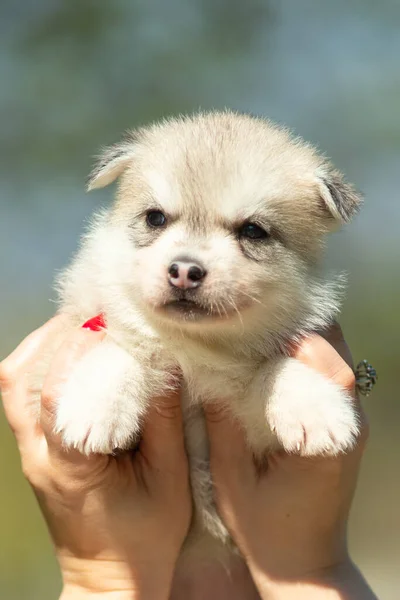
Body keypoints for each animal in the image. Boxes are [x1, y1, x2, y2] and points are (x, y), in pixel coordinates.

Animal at [36, 110, 360, 564]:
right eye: (155, 218)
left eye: (253, 231)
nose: (185, 271)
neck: (193, 347)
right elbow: (120, 349)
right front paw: (96, 408)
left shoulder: (252, 431)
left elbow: (275, 365)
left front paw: (317, 410)